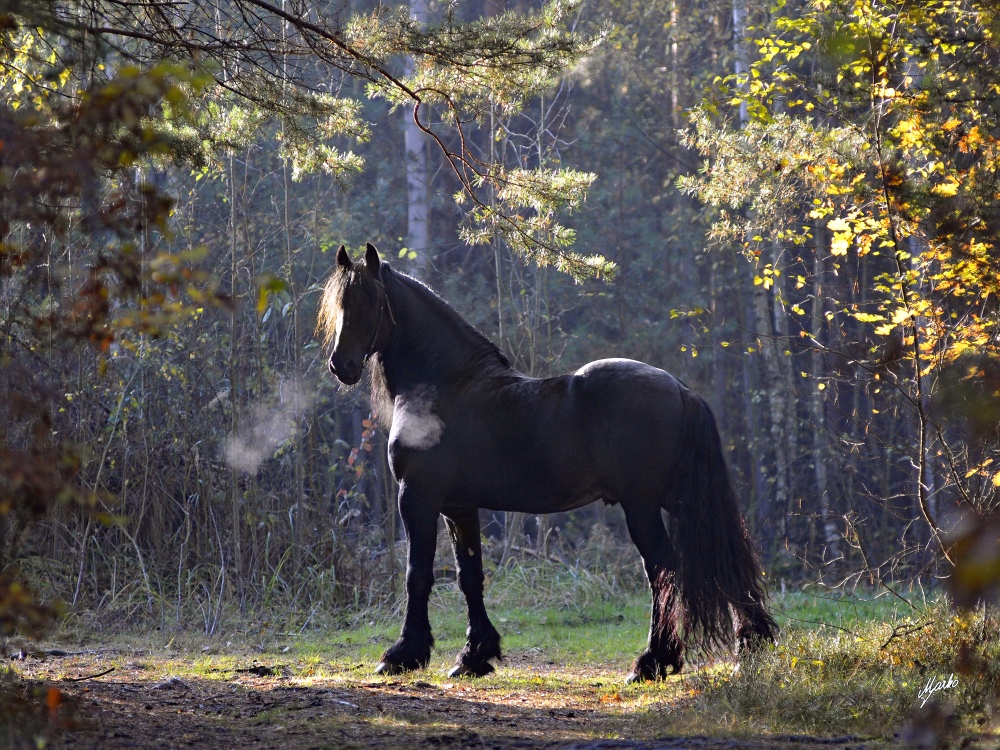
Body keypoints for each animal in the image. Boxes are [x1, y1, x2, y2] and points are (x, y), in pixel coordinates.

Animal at [316, 245, 776, 680]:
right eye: (340, 304)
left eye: (370, 302)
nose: (341, 366)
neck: (443, 385)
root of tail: (681, 388)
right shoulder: (459, 507)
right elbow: (470, 577)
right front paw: (474, 656)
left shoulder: (417, 499)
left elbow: (418, 575)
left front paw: (402, 655)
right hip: (681, 500)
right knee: (723, 560)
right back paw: (750, 646)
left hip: (643, 505)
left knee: (664, 570)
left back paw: (652, 662)